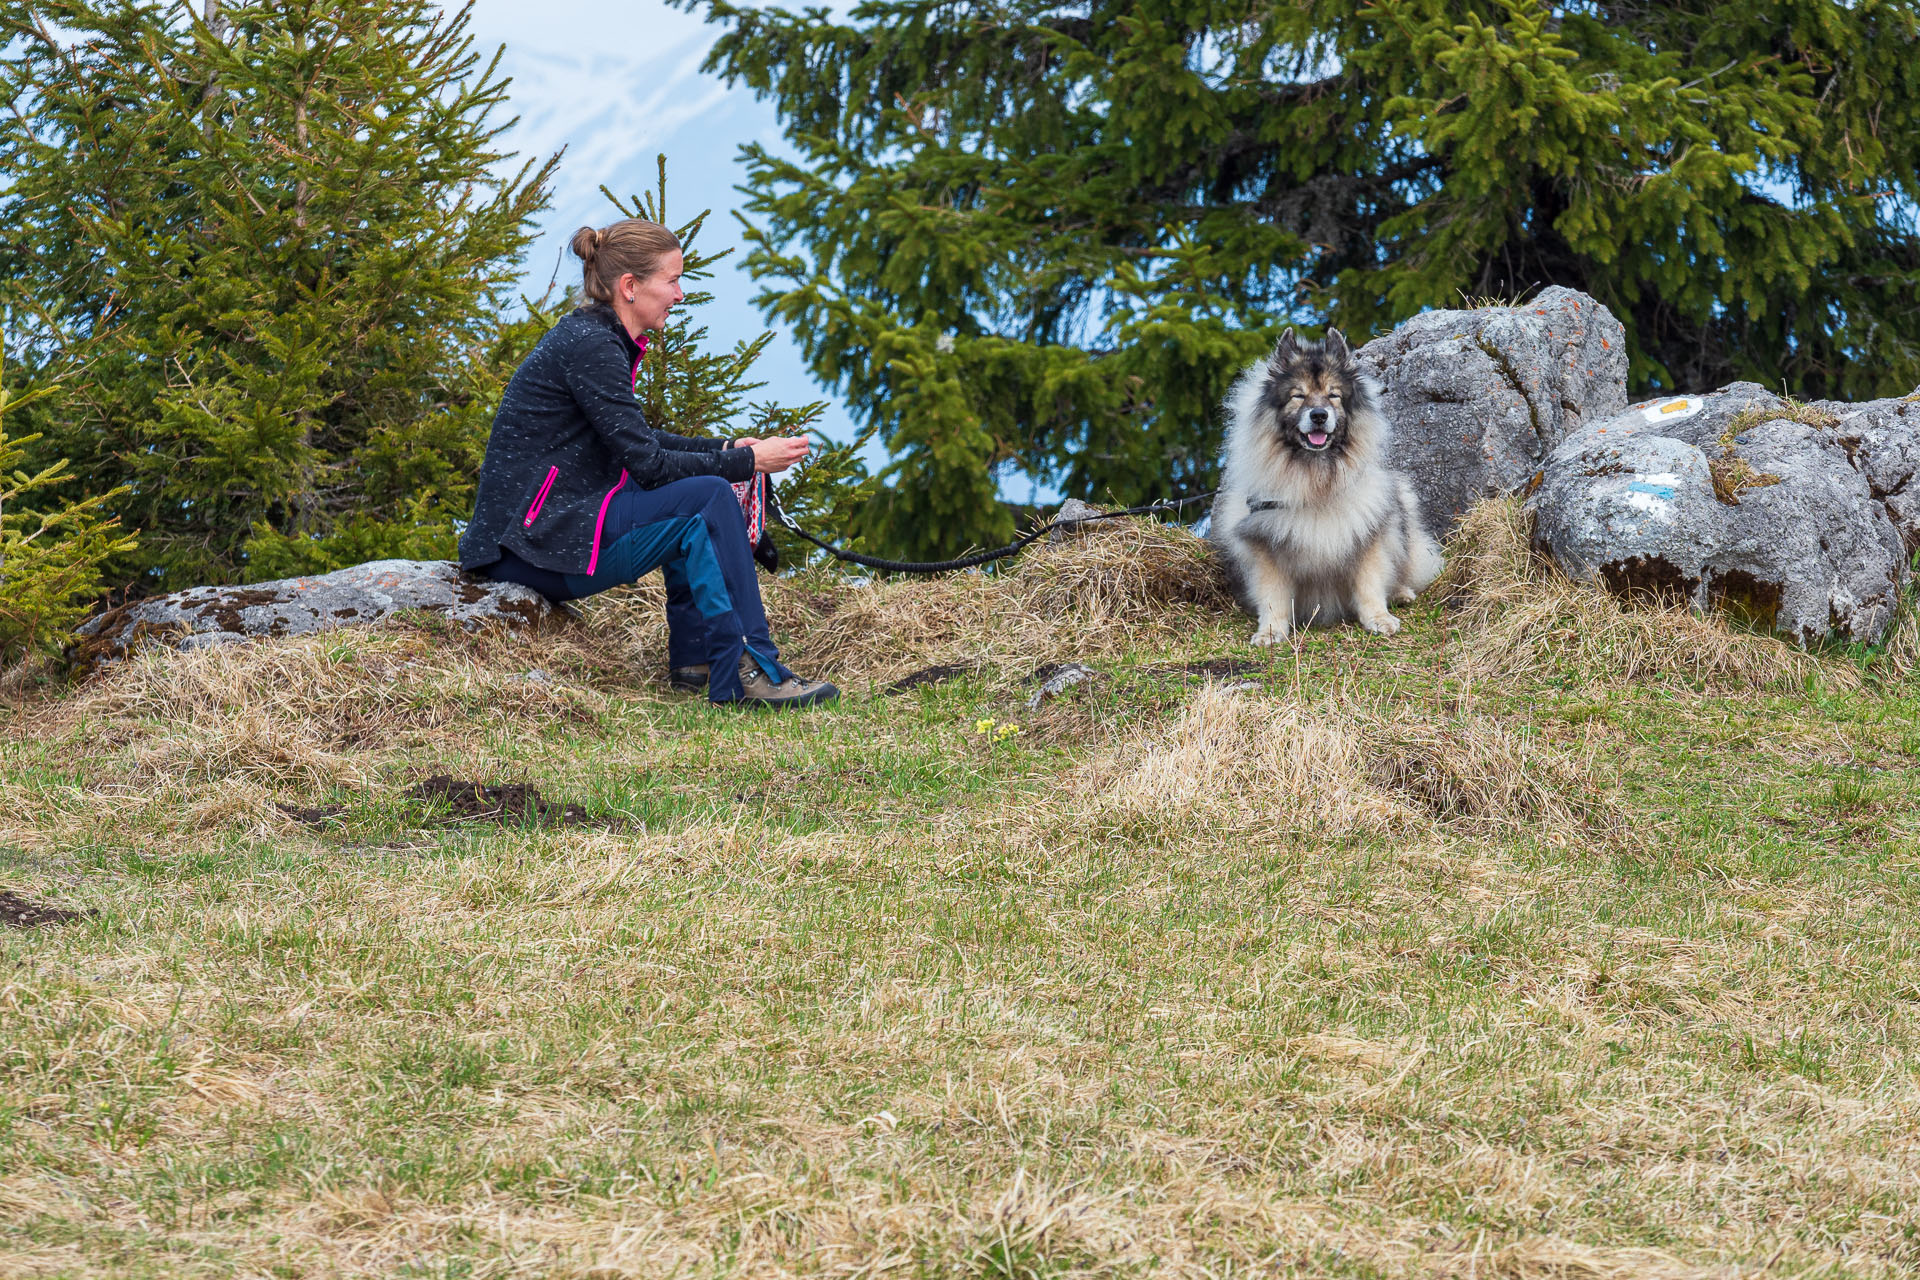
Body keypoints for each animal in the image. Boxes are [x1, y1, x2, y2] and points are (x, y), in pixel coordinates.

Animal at [1213, 326, 1443, 644]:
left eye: (1333, 395)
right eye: (1298, 396)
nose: (1319, 415)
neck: (1316, 479)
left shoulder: (1367, 531)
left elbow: (1370, 582)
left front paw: (1378, 618)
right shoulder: (1264, 542)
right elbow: (1272, 595)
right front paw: (1270, 631)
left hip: (1402, 500)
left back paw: (1400, 593)